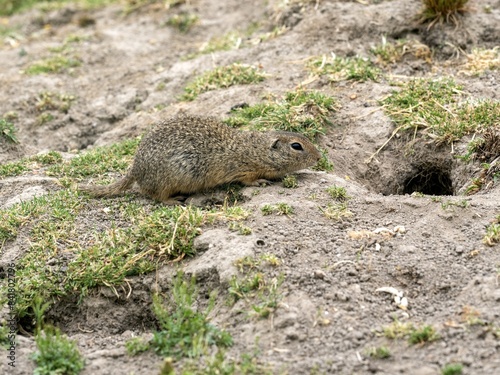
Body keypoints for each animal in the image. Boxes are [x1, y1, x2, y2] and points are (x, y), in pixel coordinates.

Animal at [78, 114, 320, 204]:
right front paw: (261, 182)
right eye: (296, 146)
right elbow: (248, 180)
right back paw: (174, 201)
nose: (318, 157)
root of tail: (136, 169)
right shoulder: (243, 168)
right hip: (170, 179)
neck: (256, 150)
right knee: (154, 195)